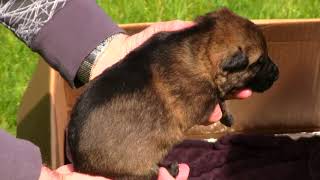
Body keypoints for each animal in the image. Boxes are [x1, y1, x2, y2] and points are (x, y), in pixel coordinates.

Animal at [67, 7, 278, 179]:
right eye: (259, 62)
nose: (277, 72)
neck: (201, 46)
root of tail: (79, 162)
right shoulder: (200, 103)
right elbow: (220, 96)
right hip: (137, 169)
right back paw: (170, 169)